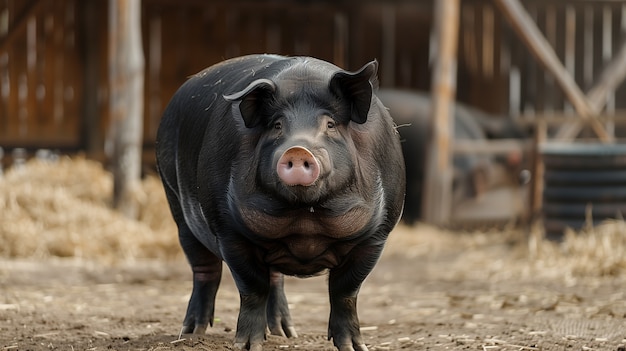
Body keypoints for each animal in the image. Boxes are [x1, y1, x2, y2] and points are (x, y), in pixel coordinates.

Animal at [154, 54, 402, 351]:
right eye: (277, 125)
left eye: (330, 125)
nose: (297, 150)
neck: (306, 217)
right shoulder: (229, 232)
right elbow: (252, 288)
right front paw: (246, 346)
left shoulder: (376, 237)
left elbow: (345, 291)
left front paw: (354, 347)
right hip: (176, 205)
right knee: (205, 271)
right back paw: (191, 333)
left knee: (275, 277)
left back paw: (285, 333)